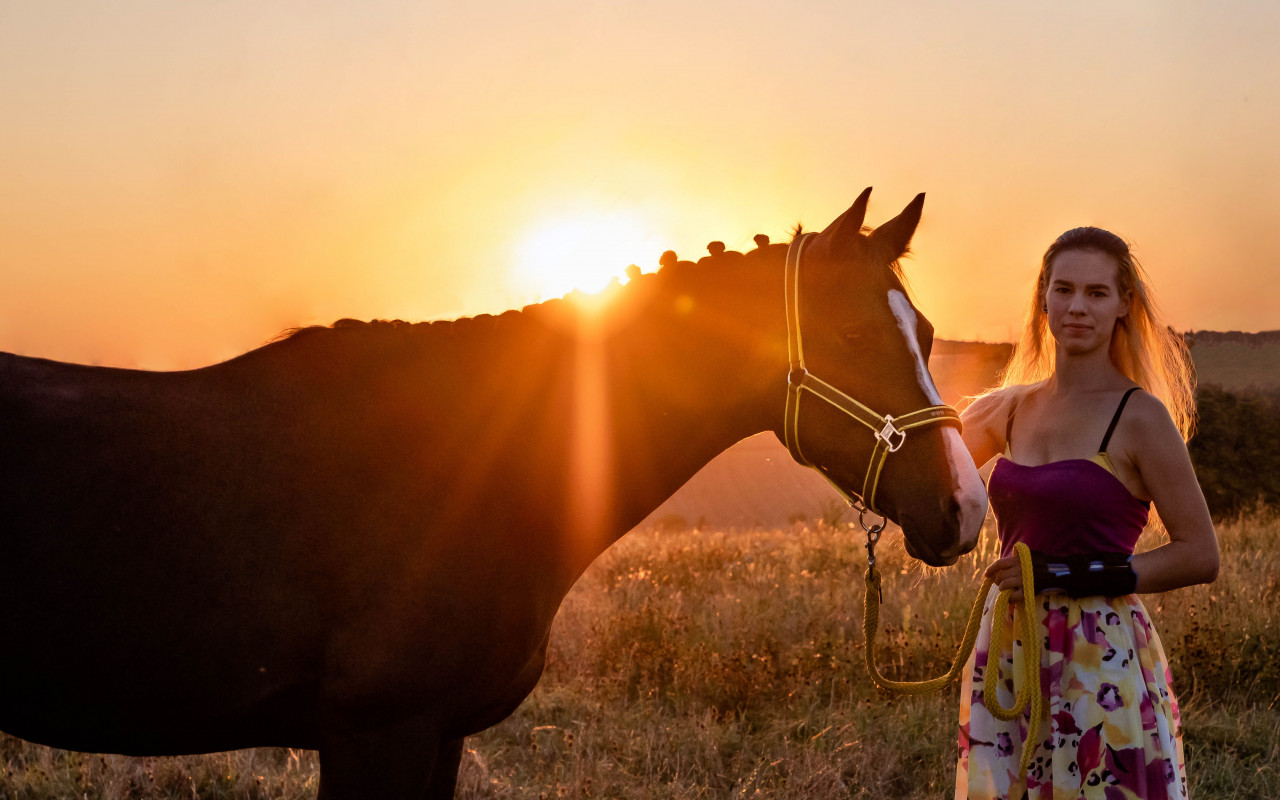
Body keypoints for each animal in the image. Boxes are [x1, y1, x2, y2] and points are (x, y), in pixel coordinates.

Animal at [0, 186, 988, 793]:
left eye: (929, 333)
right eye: (853, 339)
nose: (965, 510)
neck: (467, 471)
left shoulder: (438, 737)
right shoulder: (378, 735)